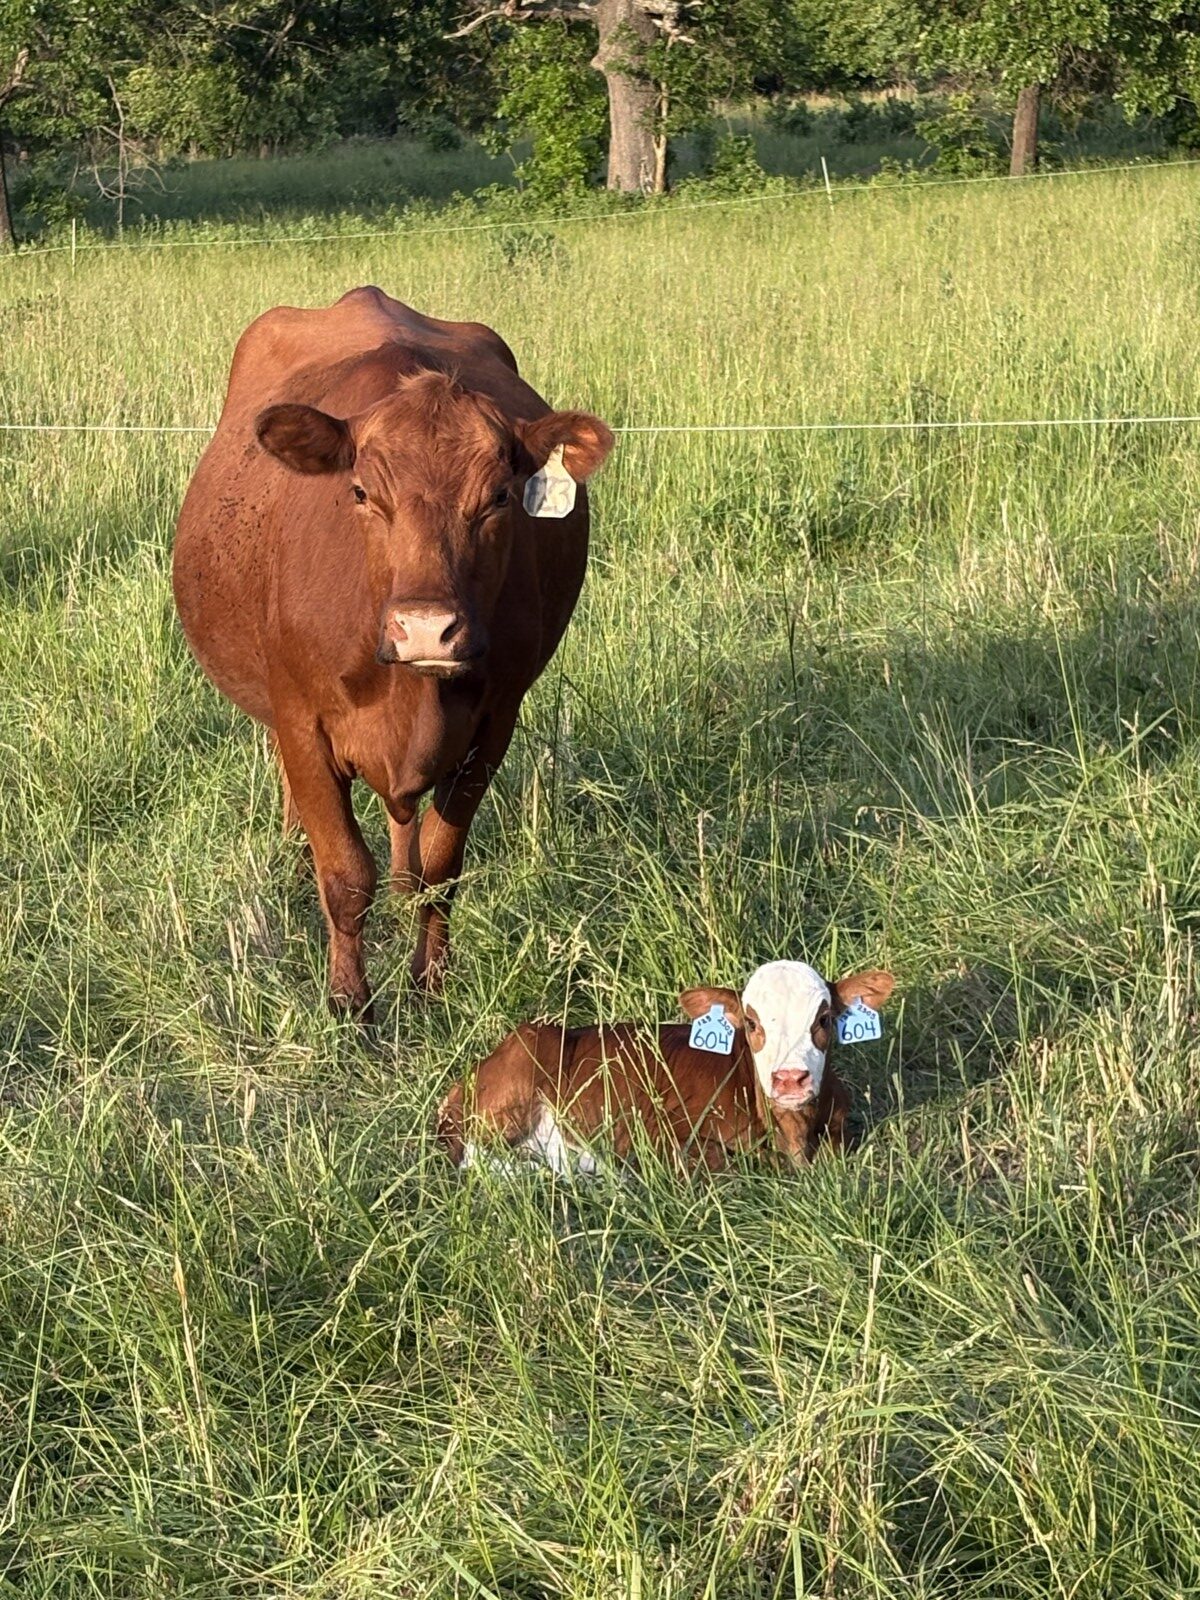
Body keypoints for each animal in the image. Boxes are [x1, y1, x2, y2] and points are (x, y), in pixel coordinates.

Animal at [173, 287, 614, 1016]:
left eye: (498, 497)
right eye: (360, 493)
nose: (426, 629)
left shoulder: (493, 723)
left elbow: (440, 865)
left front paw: (429, 983)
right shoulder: (302, 723)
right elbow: (346, 875)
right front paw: (351, 1005)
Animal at [437, 961, 896, 1174]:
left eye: (824, 1019)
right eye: (751, 1024)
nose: (789, 1079)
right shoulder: (658, 1131)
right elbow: (718, 1162)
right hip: (514, 1083)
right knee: (476, 1156)